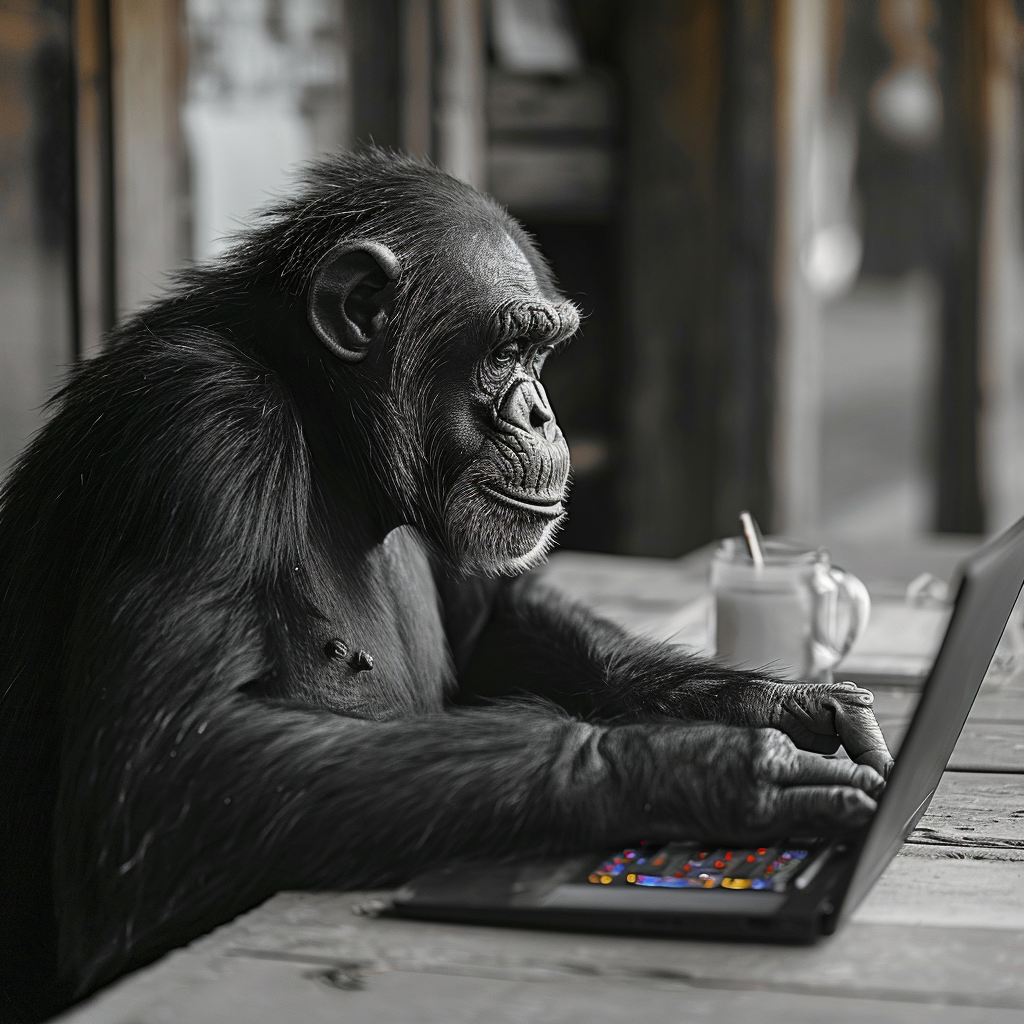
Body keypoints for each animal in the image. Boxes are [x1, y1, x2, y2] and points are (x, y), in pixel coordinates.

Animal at [0, 148, 888, 1019]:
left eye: (540, 353)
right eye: (507, 349)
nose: (540, 413)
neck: (329, 434)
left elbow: (493, 624)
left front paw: (783, 704)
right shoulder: (201, 435)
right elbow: (167, 763)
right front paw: (715, 768)